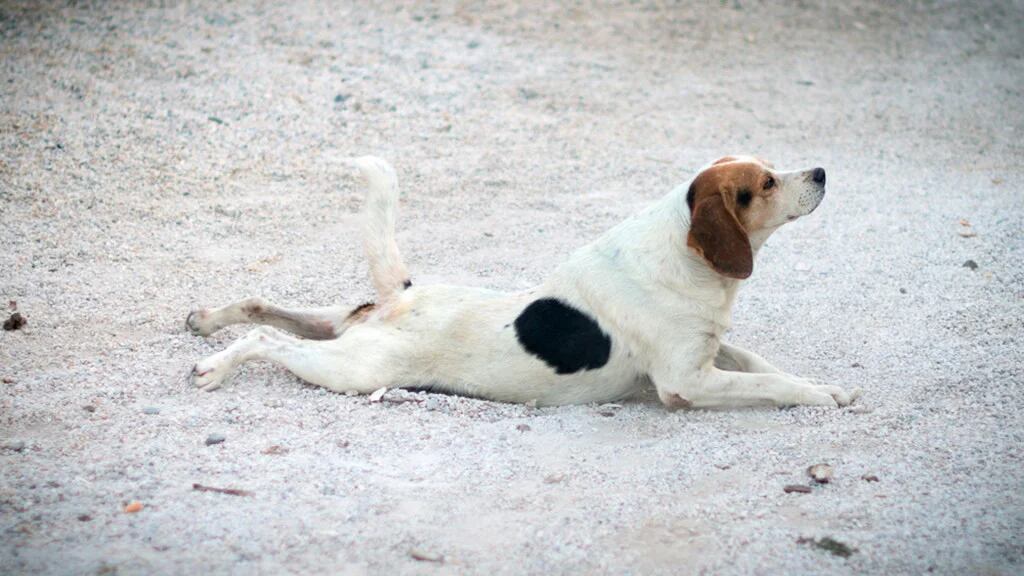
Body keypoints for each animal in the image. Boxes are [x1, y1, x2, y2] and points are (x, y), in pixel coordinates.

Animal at [188, 155, 860, 407]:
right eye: (767, 182)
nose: (823, 172)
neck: (683, 258)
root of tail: (401, 296)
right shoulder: (686, 382)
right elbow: (772, 384)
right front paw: (818, 397)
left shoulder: (713, 349)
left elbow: (765, 366)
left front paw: (825, 386)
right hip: (353, 369)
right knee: (267, 342)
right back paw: (214, 366)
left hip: (338, 327)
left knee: (263, 306)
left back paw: (206, 321)